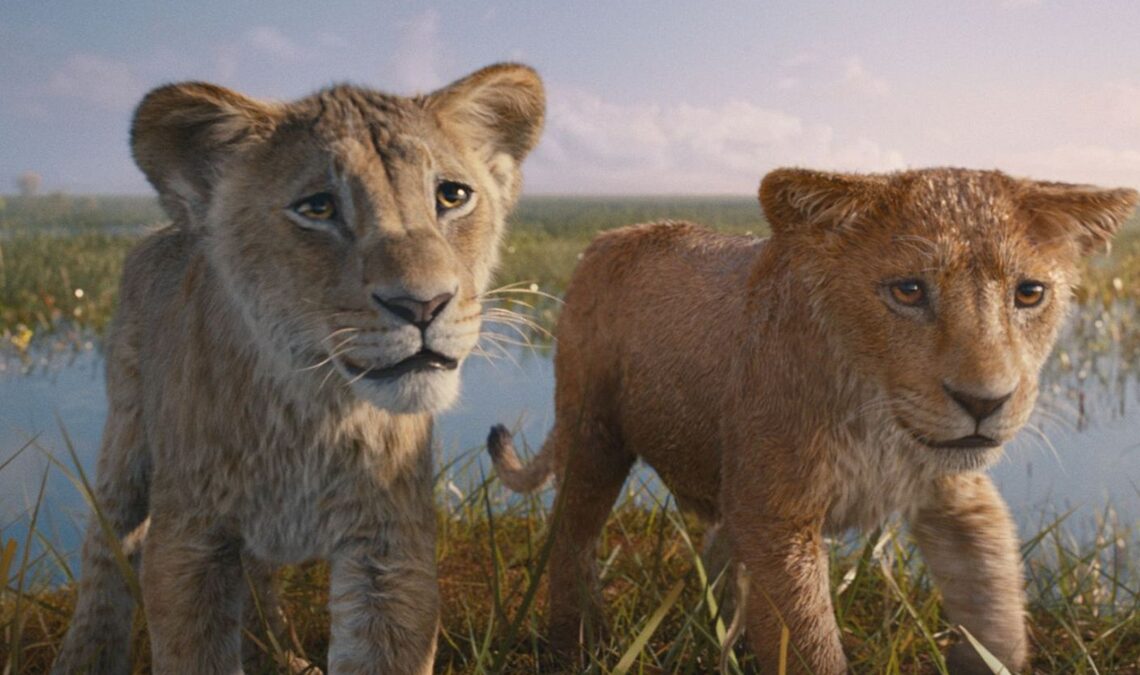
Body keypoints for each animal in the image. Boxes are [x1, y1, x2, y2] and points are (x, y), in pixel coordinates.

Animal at [52, 63, 544, 674]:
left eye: (451, 195)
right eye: (318, 208)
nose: (424, 305)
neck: (312, 410)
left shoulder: (388, 549)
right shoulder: (189, 541)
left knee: (258, 575)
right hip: (126, 432)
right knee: (107, 543)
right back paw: (85, 656)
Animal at [488, 167, 1138, 673]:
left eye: (1029, 294)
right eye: (908, 291)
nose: (984, 403)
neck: (879, 420)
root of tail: (607, 236)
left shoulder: (956, 495)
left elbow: (996, 607)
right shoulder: (779, 518)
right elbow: (810, 645)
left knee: (720, 552)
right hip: (594, 432)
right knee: (571, 539)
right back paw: (576, 648)